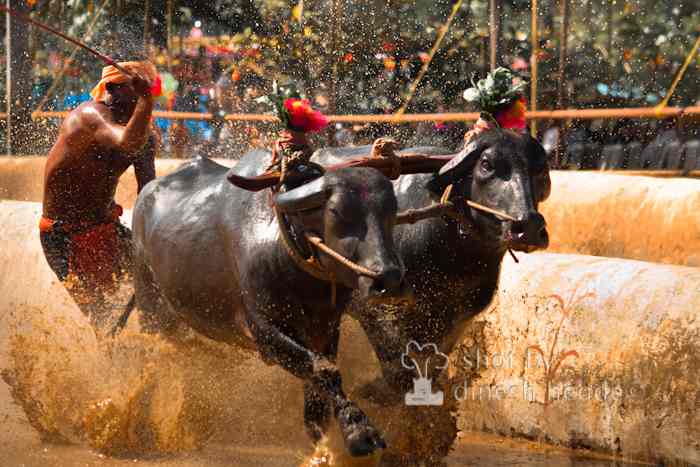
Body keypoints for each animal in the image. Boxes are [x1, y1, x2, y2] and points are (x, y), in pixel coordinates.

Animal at [314, 127, 552, 464]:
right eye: (487, 165)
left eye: (539, 170)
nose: (527, 227)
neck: (451, 248)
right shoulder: (374, 308)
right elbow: (399, 370)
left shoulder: (453, 319)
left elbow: (430, 368)